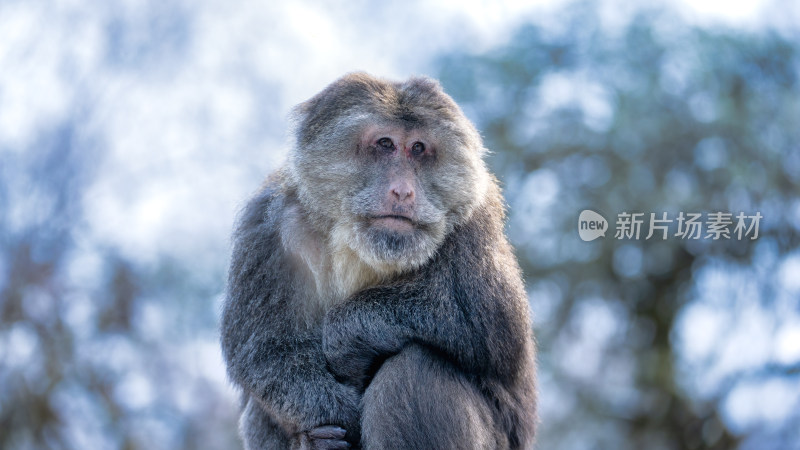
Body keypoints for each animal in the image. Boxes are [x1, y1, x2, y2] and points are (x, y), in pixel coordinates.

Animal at [220, 72, 536, 448]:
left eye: (418, 148)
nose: (403, 191)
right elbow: (266, 351)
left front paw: (347, 335)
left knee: (414, 370)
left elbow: (494, 324)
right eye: (385, 144)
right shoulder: (266, 227)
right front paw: (333, 420)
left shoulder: (474, 218)